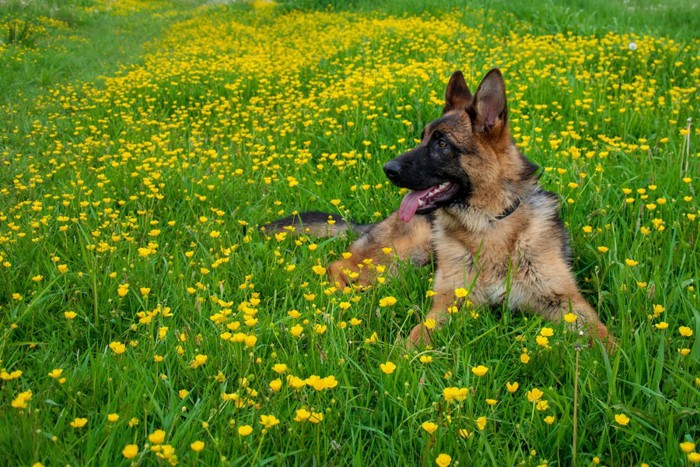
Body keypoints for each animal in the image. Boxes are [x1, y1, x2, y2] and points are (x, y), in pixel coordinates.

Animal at [266, 68, 608, 348]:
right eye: (422, 139)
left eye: (442, 144)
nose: (387, 169)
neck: (489, 224)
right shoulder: (448, 301)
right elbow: (417, 338)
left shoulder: (566, 301)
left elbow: (601, 335)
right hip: (402, 254)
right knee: (337, 267)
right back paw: (343, 300)